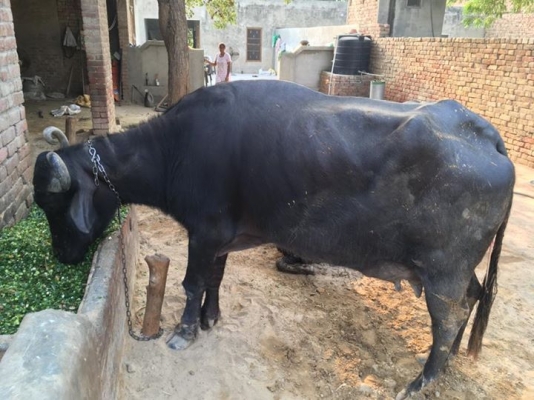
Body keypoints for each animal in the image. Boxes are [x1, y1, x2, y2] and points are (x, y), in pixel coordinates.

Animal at [32, 80, 514, 398]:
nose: (62, 255)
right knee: (471, 299)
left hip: (442, 274)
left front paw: (184, 331)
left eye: (54, 203)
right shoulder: (220, 239)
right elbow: (214, 280)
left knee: (448, 318)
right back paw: (451, 360)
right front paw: (210, 318)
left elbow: (191, 283)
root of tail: (485, 135)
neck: (177, 147)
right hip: (457, 272)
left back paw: (420, 381)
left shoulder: (203, 233)